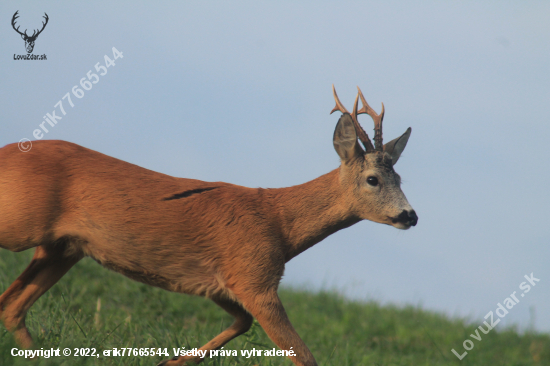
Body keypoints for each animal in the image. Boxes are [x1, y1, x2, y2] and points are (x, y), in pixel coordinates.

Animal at [0, 86, 418, 366]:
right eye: (373, 180)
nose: (410, 216)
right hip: (22, 223)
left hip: (63, 247)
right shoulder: (254, 277)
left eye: (399, 178)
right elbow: (303, 355)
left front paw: (172, 361)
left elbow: (242, 323)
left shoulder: (222, 280)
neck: (279, 225)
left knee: (11, 306)